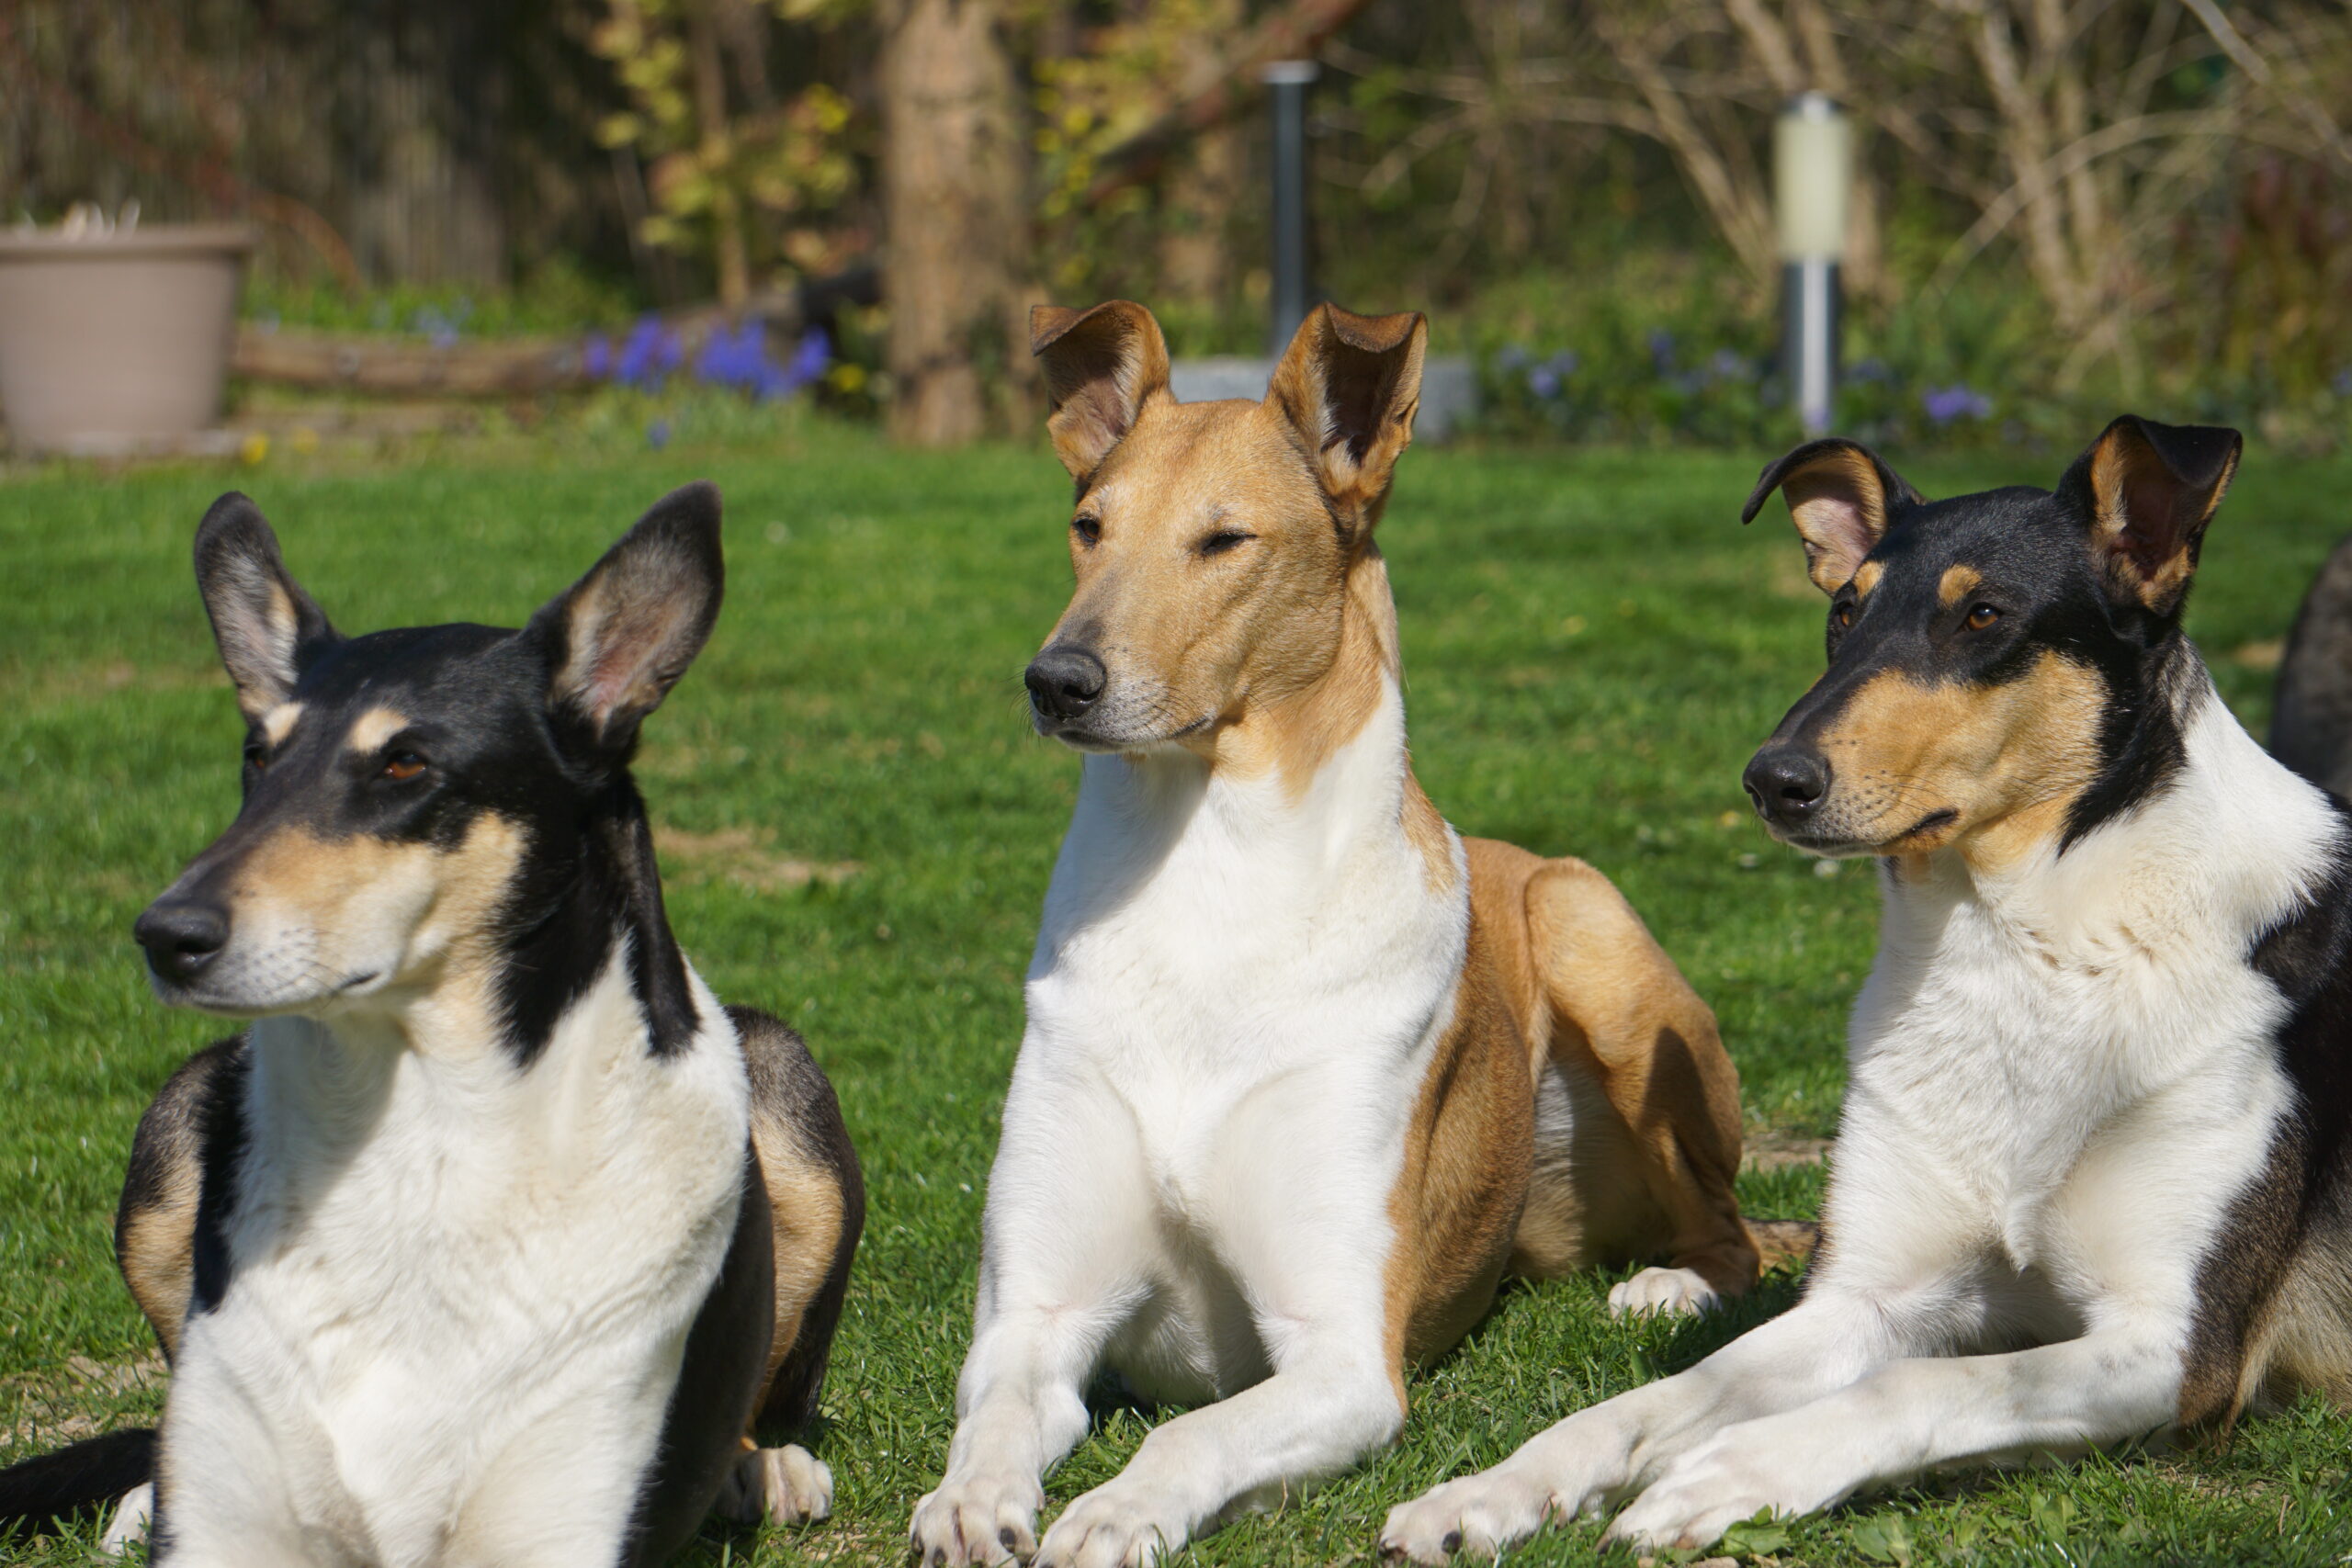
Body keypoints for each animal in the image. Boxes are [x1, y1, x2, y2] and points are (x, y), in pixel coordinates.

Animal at [0, 484, 865, 1561]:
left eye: (406, 764)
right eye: (256, 757)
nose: (166, 935)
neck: (422, 1138)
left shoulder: (556, 1521)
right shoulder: (230, 1528)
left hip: (786, 1082)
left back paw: (764, 1465)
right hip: (176, 1120)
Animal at [908, 303, 1769, 1568]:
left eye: (1224, 540)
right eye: (1087, 525)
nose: (1055, 680)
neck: (1208, 896)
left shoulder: (1341, 1354)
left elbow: (1191, 1433)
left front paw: (1111, 1512)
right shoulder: (1037, 1314)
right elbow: (997, 1420)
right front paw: (968, 1504)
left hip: (1588, 926)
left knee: (1738, 1232)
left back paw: (1669, 1286)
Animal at [1374, 415, 2352, 1561]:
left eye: (1982, 615)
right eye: (1844, 613)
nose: (1771, 780)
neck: (2023, 945)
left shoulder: (2176, 1343)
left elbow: (1915, 1389)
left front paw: (1725, 1474)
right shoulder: (1869, 1296)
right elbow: (1650, 1402)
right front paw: (1486, 1492)